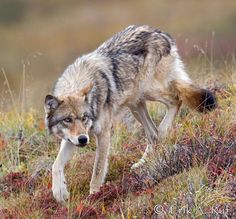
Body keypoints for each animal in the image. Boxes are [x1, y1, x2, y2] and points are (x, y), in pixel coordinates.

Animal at [43, 24, 217, 204]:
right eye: (67, 120)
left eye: (84, 118)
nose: (83, 139)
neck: (78, 80)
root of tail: (159, 32)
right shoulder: (72, 139)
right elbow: (56, 165)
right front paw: (60, 193)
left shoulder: (103, 134)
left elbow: (97, 171)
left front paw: (93, 197)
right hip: (135, 103)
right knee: (153, 134)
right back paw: (143, 163)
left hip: (146, 90)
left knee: (175, 100)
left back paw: (163, 131)